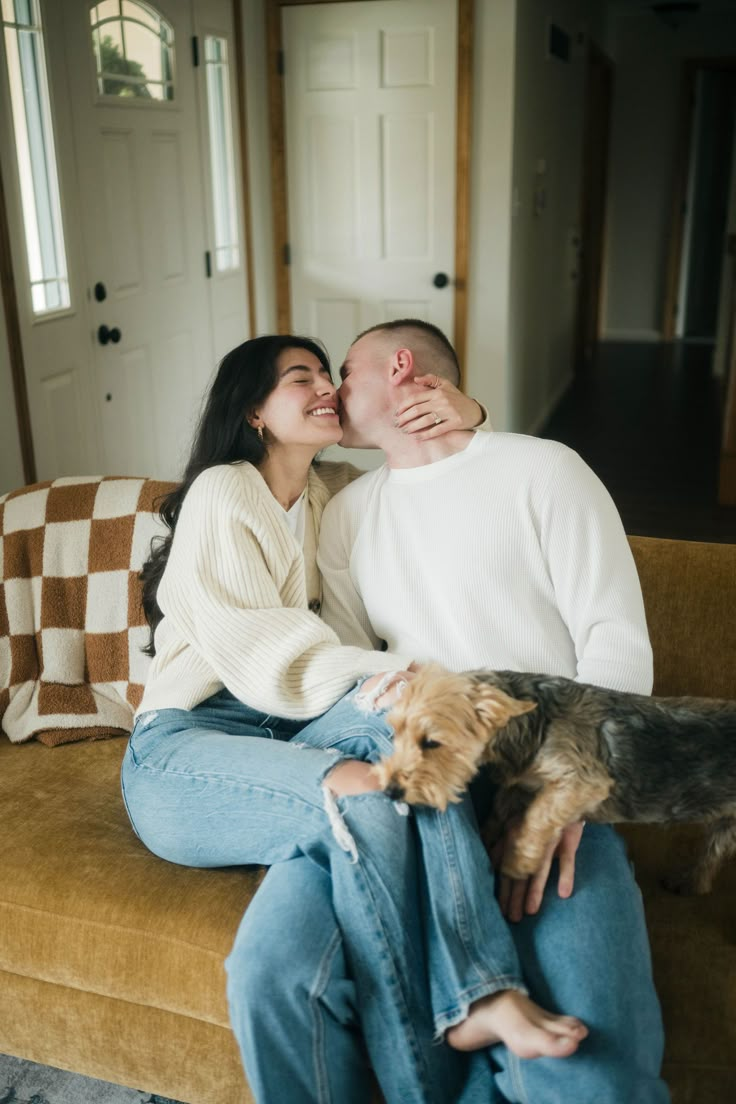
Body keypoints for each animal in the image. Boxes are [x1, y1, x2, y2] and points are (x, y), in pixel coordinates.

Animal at [375, 662, 736, 896]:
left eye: (431, 743)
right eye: (394, 732)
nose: (390, 790)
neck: (533, 724)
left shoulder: (582, 781)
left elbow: (538, 815)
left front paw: (518, 861)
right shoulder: (520, 781)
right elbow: (501, 808)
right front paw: (489, 836)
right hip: (725, 826)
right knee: (714, 851)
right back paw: (688, 883)